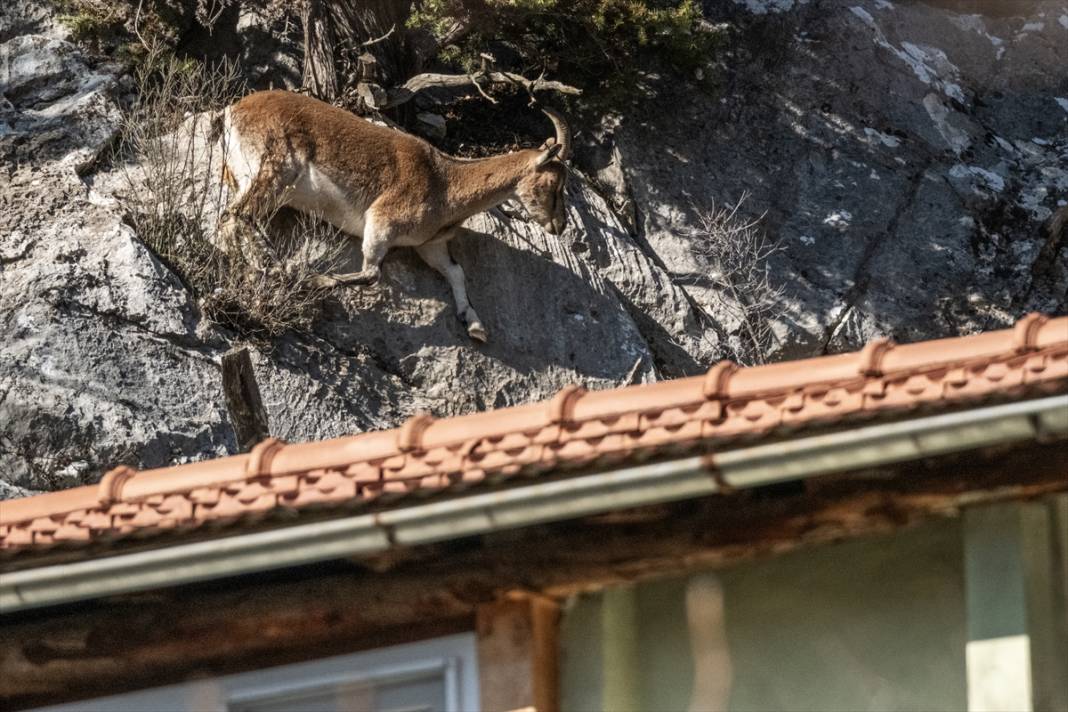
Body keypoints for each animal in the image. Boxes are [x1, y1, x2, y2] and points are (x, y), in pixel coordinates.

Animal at [212, 89, 572, 341]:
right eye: (554, 185)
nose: (559, 226)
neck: (445, 184)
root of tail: (234, 111)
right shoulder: (382, 220)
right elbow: (372, 273)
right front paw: (313, 277)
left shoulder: (428, 245)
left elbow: (456, 272)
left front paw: (475, 325)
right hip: (274, 169)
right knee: (236, 216)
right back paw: (273, 266)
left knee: (235, 218)